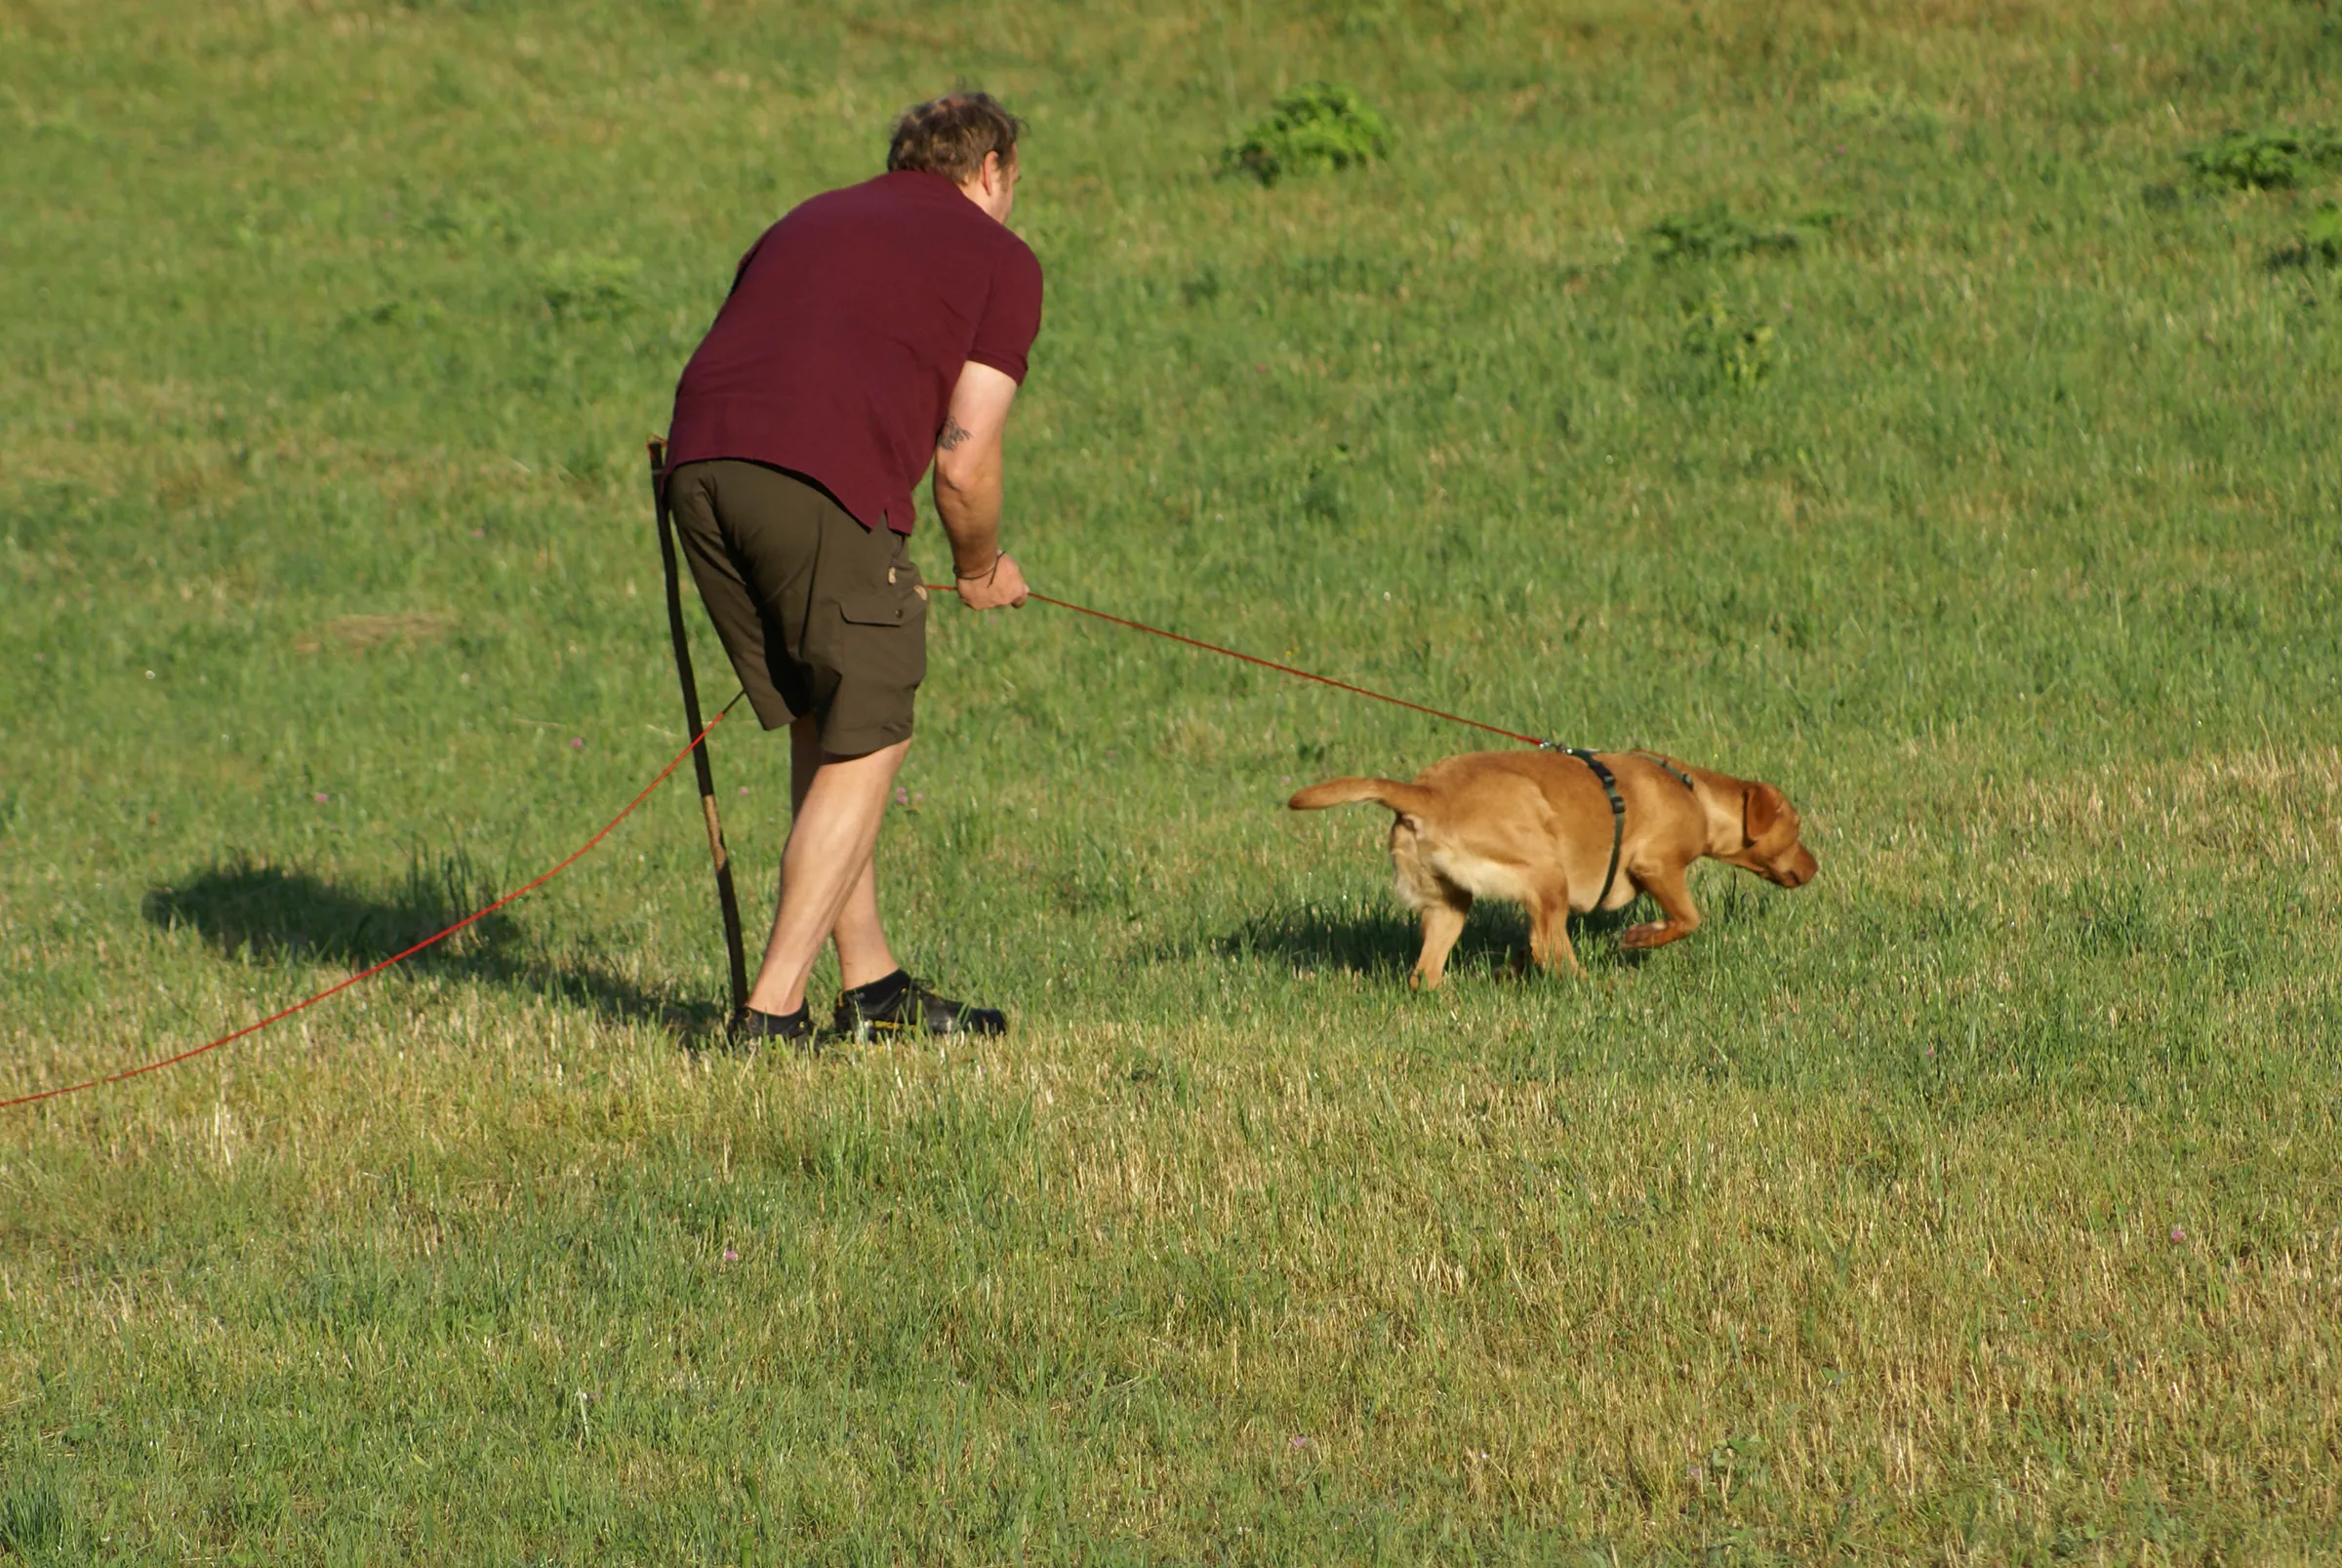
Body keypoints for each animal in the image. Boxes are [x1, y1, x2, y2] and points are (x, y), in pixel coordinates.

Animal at [1292, 753, 1817, 987]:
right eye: (1795, 828)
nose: (1814, 866)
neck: (1696, 794)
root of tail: (1427, 795)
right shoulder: (1657, 866)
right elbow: (1687, 919)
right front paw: (1640, 937)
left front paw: (1510, 968)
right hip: (1548, 872)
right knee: (1553, 949)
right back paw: (1593, 984)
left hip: (1449, 904)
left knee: (1427, 971)